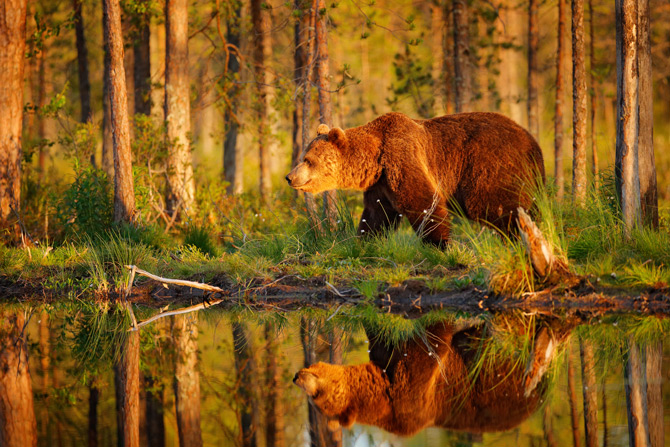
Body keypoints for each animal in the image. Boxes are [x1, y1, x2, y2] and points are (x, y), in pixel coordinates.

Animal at [288, 112, 544, 245]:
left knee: (497, 203)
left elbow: (423, 202)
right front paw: (366, 240)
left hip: (490, 162)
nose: (289, 176)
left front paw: (439, 243)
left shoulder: (403, 156)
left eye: (308, 159)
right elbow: (376, 214)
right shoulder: (381, 185)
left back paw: (517, 234)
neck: (374, 160)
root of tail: (532, 141)